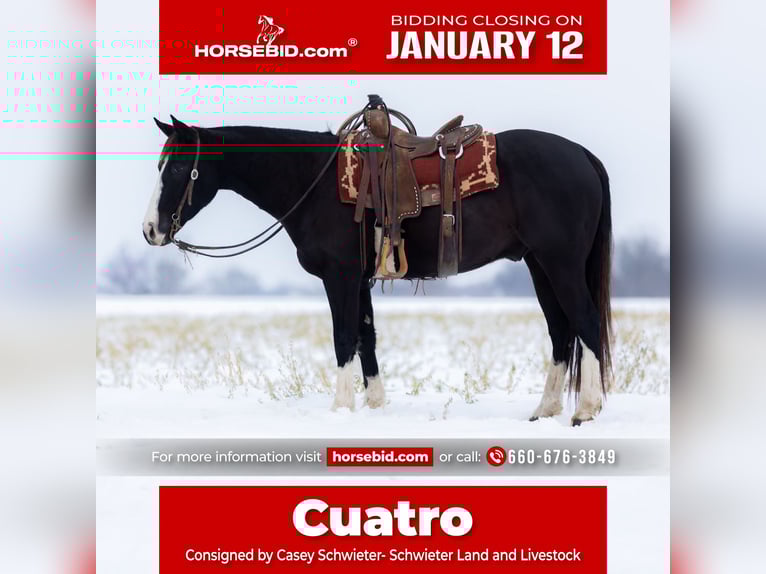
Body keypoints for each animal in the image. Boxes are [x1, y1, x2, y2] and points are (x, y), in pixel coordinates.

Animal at [142, 113, 613, 426]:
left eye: (180, 166)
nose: (150, 230)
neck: (312, 181)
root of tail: (583, 155)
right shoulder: (361, 281)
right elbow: (366, 337)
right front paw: (374, 405)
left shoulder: (341, 277)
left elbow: (344, 338)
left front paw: (340, 408)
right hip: (538, 264)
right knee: (560, 330)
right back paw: (545, 410)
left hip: (560, 263)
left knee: (585, 322)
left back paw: (585, 411)